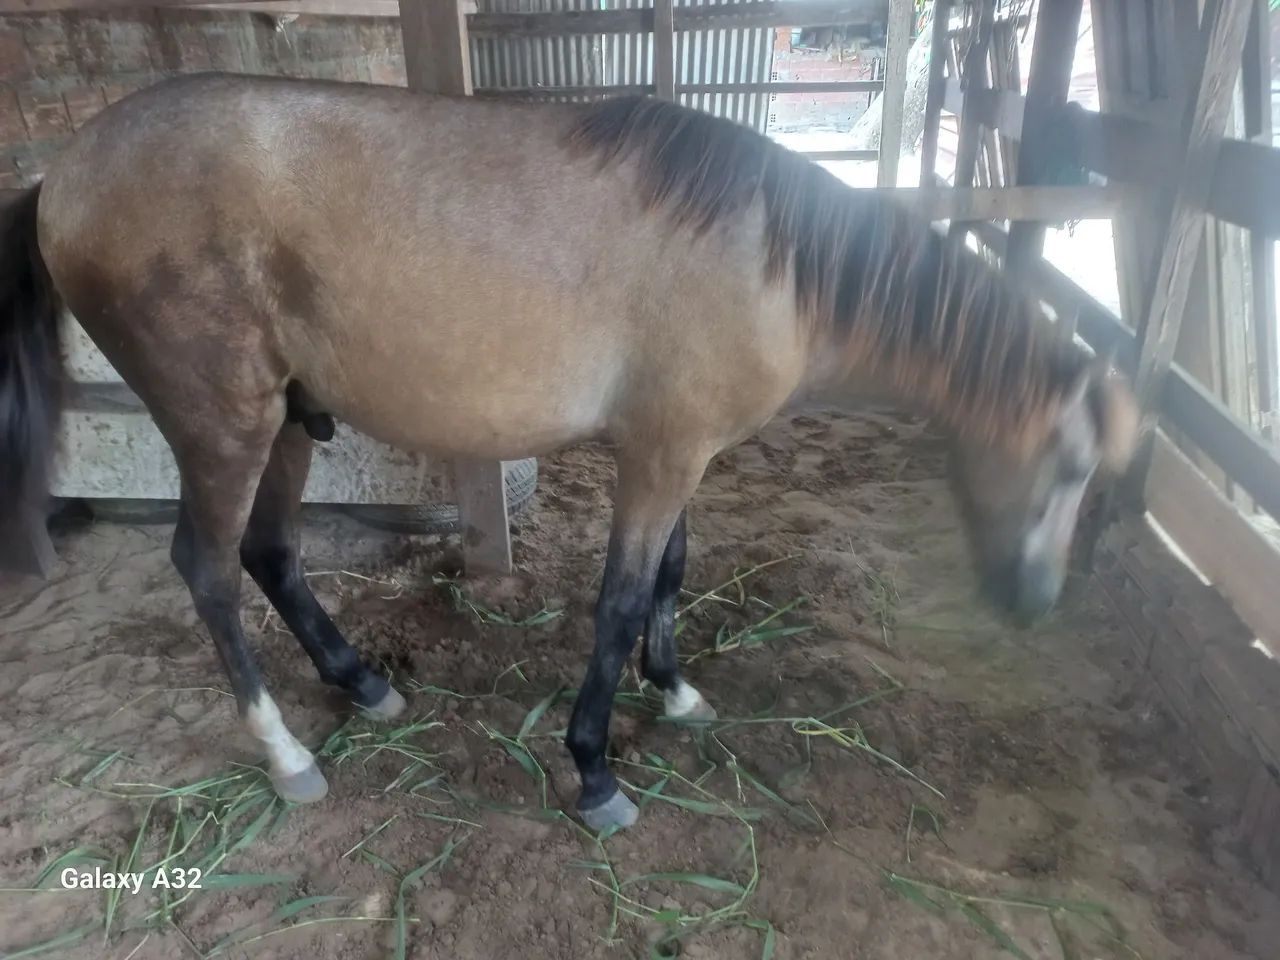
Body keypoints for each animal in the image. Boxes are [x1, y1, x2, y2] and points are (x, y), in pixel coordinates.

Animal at [0, 73, 1137, 832]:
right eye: (1068, 469)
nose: (1035, 603)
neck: (772, 259)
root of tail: (64, 175)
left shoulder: (679, 449)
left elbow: (671, 574)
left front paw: (673, 692)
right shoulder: (662, 456)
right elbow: (621, 599)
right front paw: (595, 770)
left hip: (284, 422)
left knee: (270, 553)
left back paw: (362, 685)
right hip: (223, 424)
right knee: (207, 568)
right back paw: (283, 751)